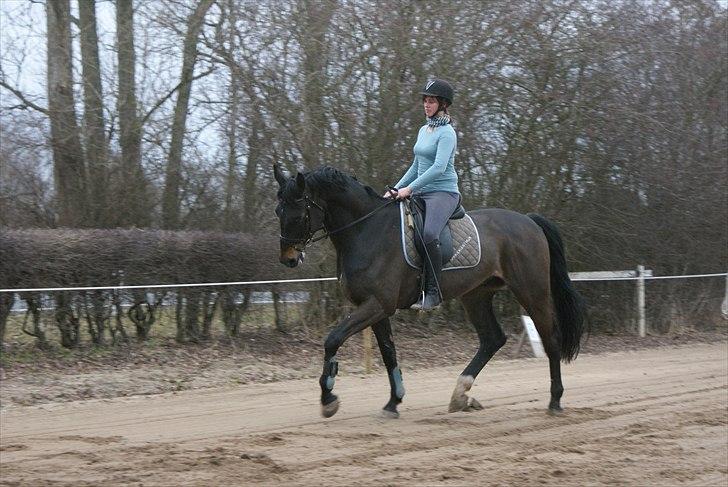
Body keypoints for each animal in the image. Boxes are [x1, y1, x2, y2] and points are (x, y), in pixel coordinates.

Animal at [272, 164, 584, 420]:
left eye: (298, 214)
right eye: (278, 212)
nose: (288, 258)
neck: (365, 230)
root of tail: (529, 221)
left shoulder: (377, 304)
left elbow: (333, 339)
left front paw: (329, 399)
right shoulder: (375, 308)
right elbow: (388, 353)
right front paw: (393, 403)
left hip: (532, 290)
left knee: (550, 338)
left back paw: (555, 402)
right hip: (476, 295)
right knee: (492, 339)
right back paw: (460, 395)